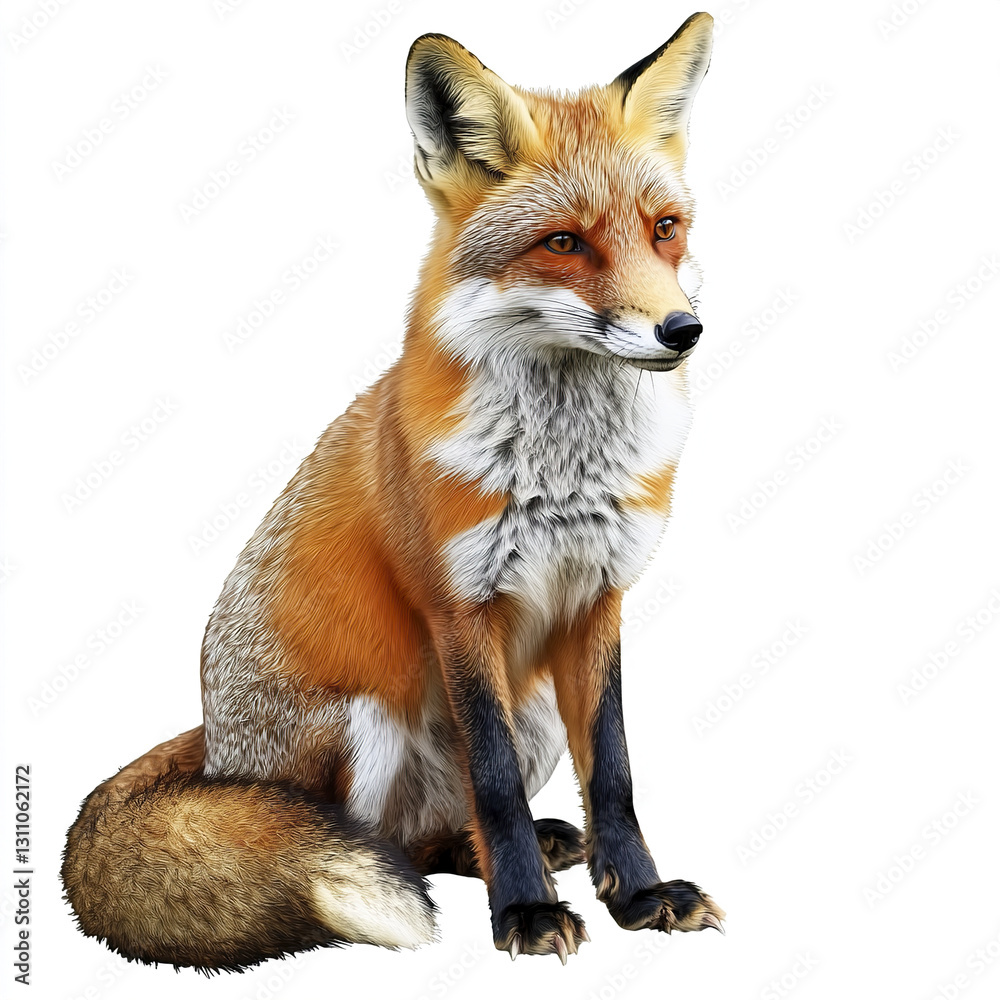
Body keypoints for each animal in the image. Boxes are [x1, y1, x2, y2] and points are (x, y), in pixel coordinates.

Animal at [62, 11, 724, 970]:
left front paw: (636, 895)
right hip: (364, 728)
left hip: (534, 710)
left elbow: (615, 773)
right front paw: (525, 913)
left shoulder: (600, 597)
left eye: (665, 228)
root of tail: (217, 749)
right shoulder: (459, 605)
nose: (683, 329)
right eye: (564, 243)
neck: (563, 467)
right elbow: (494, 786)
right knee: (385, 844)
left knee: (440, 834)